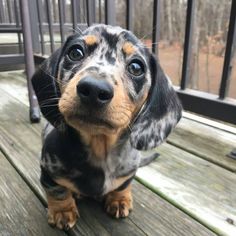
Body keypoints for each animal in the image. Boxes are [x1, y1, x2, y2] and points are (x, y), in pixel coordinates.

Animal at [31, 24, 183, 230]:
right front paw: (62, 211)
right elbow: (57, 190)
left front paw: (119, 199)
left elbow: (123, 185)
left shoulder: (128, 172)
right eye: (76, 52)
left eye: (136, 67)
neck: (100, 147)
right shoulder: (48, 172)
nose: (94, 90)